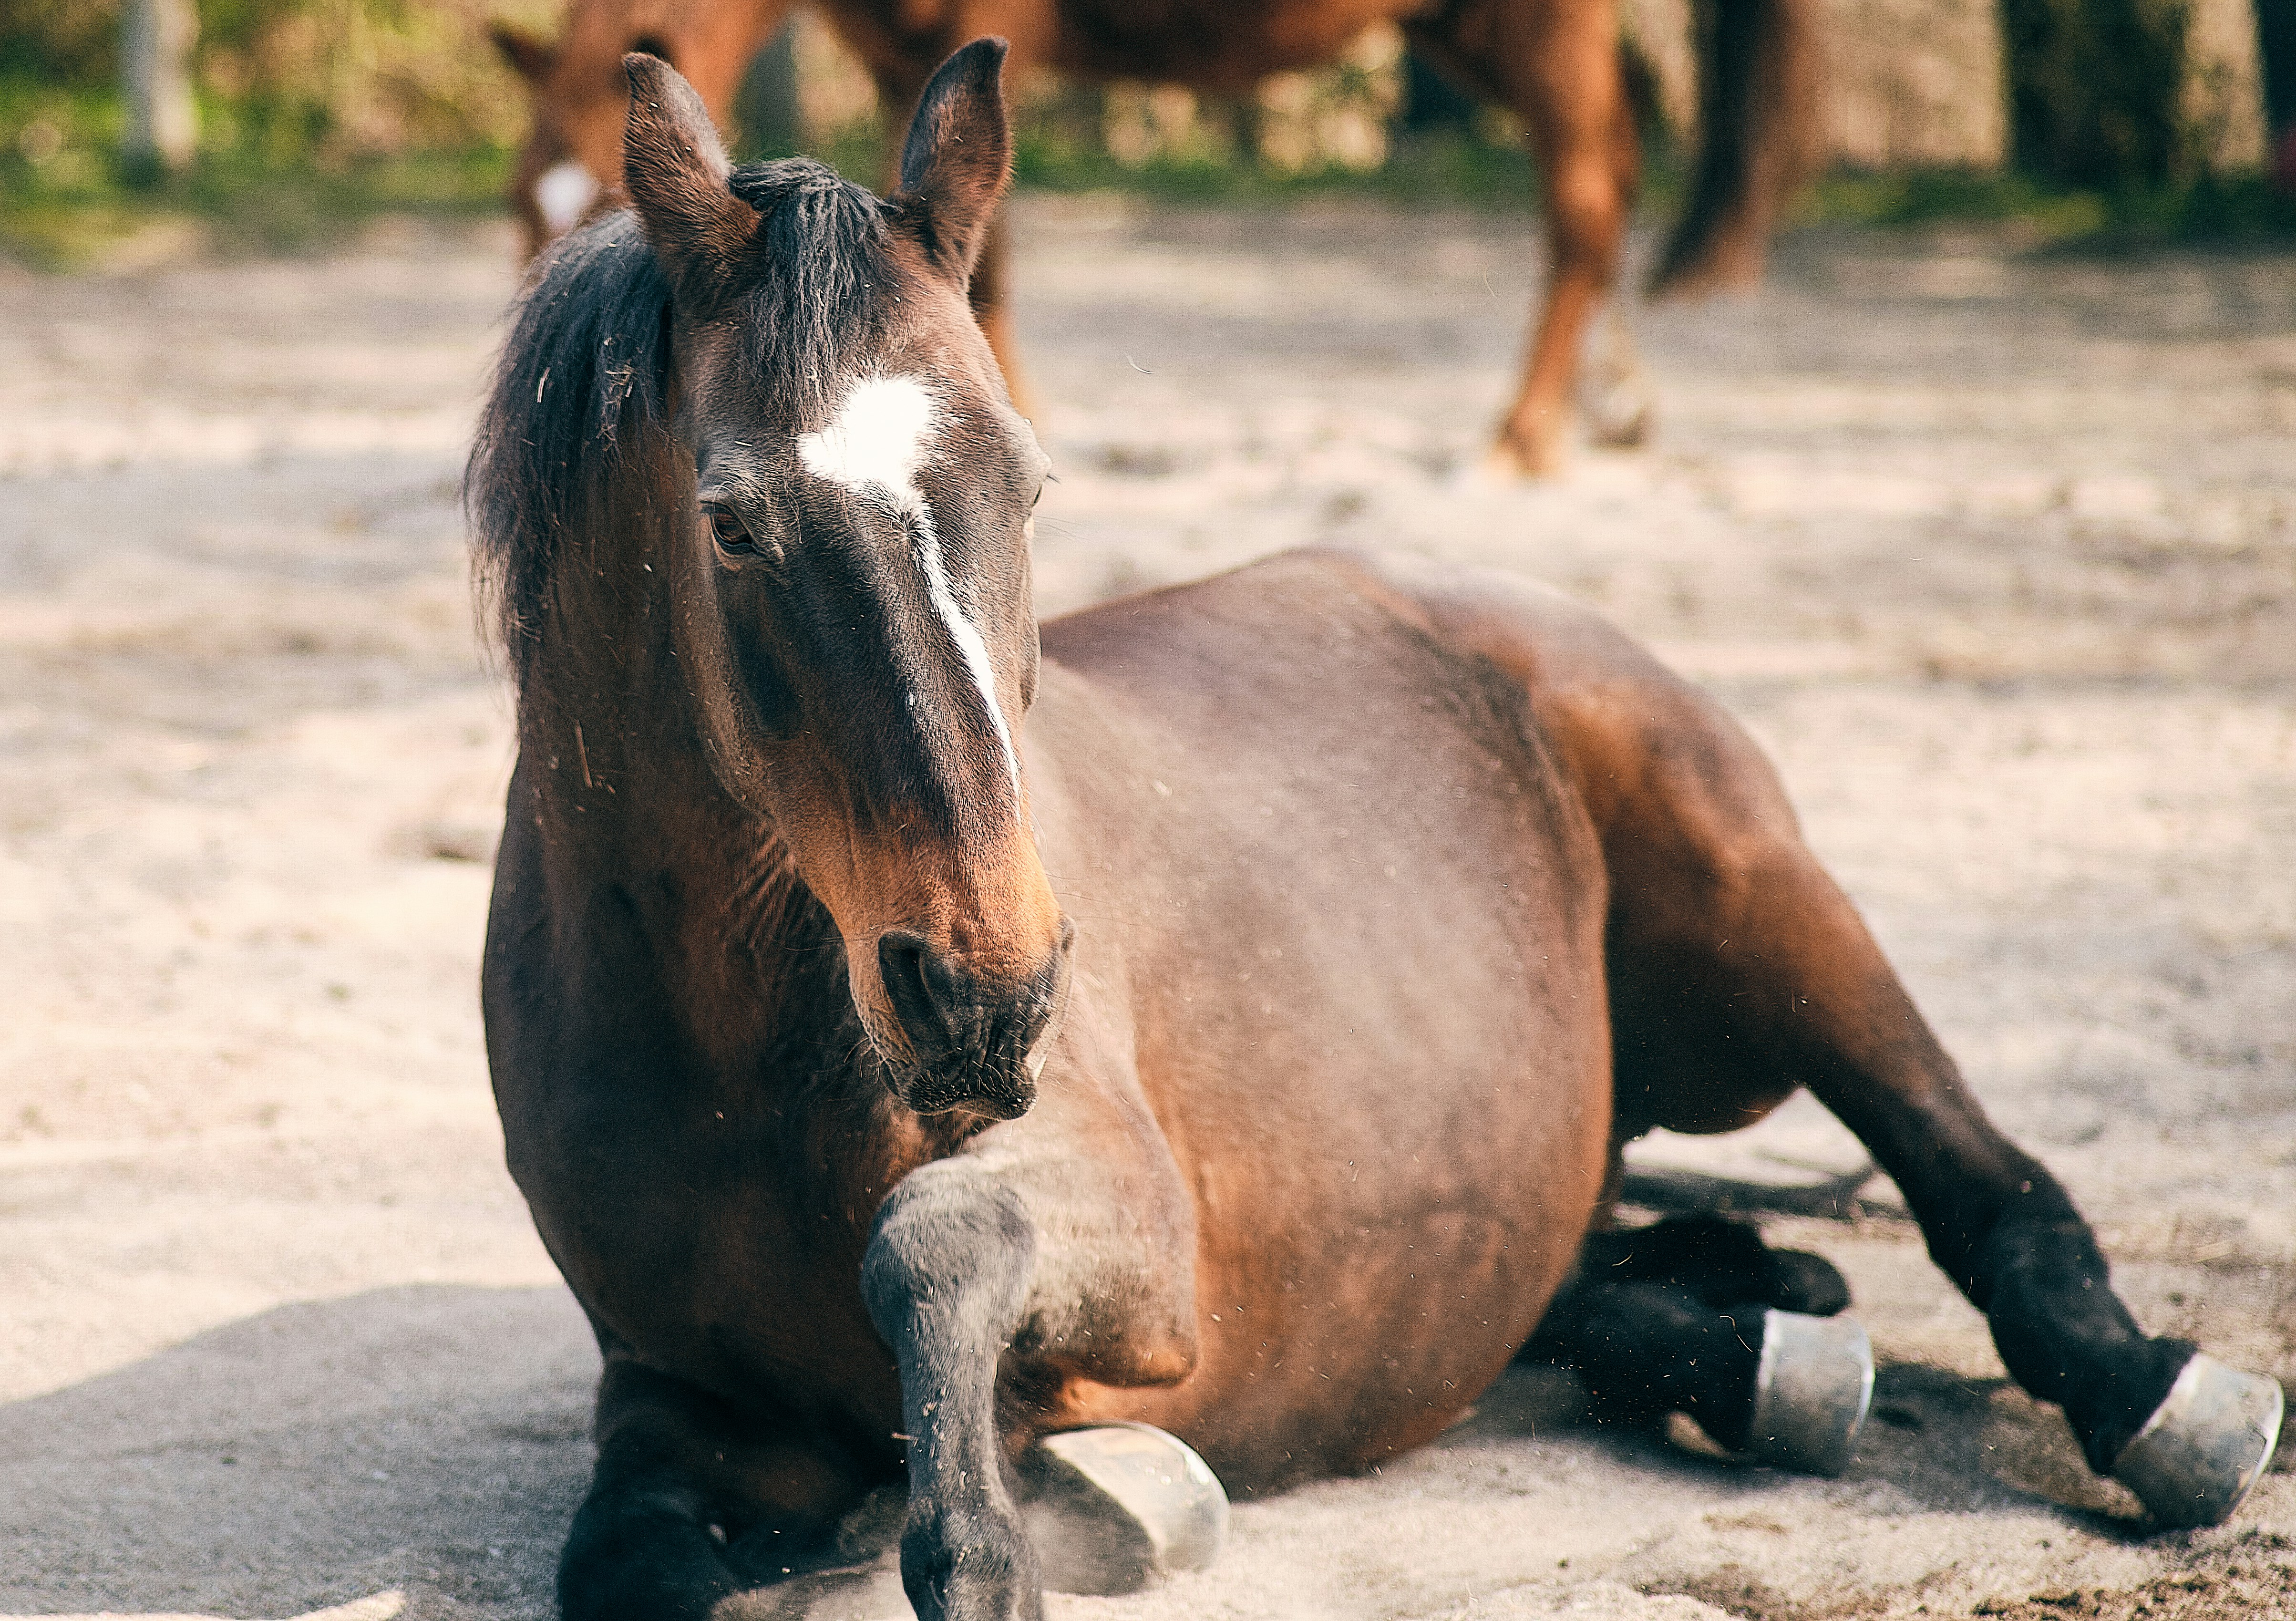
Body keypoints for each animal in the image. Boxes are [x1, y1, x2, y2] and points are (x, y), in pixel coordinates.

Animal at [484, 0, 1823, 477]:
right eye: (520, 214)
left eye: (607, 223)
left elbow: (987, 259)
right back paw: (1608, 403)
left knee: (1586, 188)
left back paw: (1523, 432)